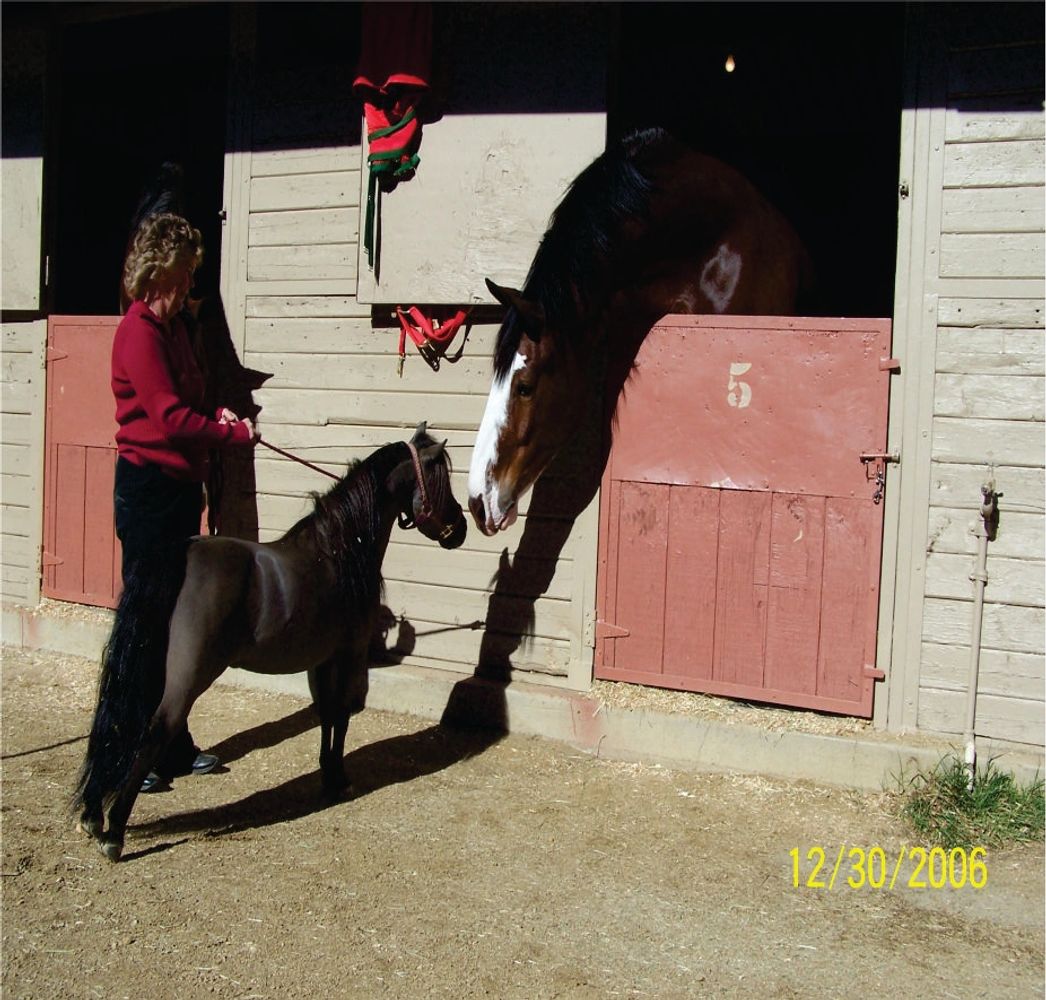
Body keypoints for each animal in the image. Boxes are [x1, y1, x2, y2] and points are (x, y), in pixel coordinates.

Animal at [73, 424, 466, 862]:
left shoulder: (321, 661)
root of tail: (185, 552)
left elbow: (327, 715)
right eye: (441, 477)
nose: (460, 529)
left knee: (119, 723)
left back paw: (93, 816)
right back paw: (114, 833)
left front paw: (328, 775)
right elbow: (341, 715)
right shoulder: (349, 655)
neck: (338, 551)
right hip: (189, 674)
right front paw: (340, 778)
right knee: (154, 728)